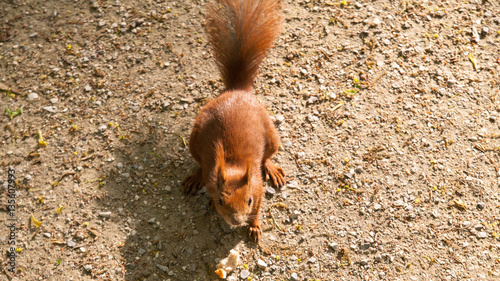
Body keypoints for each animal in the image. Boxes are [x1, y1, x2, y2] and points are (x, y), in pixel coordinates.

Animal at [183, 0, 286, 241]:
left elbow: (258, 208)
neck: (233, 166)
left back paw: (272, 168)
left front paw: (254, 226)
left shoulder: (257, 188)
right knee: (199, 163)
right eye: (221, 201)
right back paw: (195, 177)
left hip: (272, 135)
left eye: (247, 200)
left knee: (268, 156)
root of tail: (237, 90)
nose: (236, 221)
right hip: (194, 140)